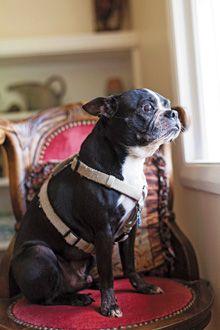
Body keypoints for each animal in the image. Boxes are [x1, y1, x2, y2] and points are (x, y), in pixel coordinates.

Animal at [11, 87, 181, 318]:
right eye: (147, 108)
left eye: (168, 105)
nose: (174, 113)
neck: (129, 163)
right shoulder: (104, 233)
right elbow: (108, 273)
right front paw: (109, 305)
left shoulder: (129, 230)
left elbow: (130, 264)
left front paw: (142, 286)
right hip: (38, 253)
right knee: (47, 298)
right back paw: (77, 298)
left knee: (85, 280)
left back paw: (90, 285)